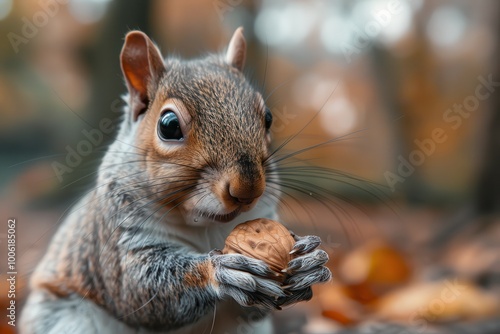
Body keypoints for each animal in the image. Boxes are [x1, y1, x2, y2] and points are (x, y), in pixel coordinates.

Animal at [20, 27, 332, 332]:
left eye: (267, 118)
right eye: (168, 126)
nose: (247, 189)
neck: (205, 225)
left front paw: (309, 262)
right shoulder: (117, 241)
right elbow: (137, 286)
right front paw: (219, 271)